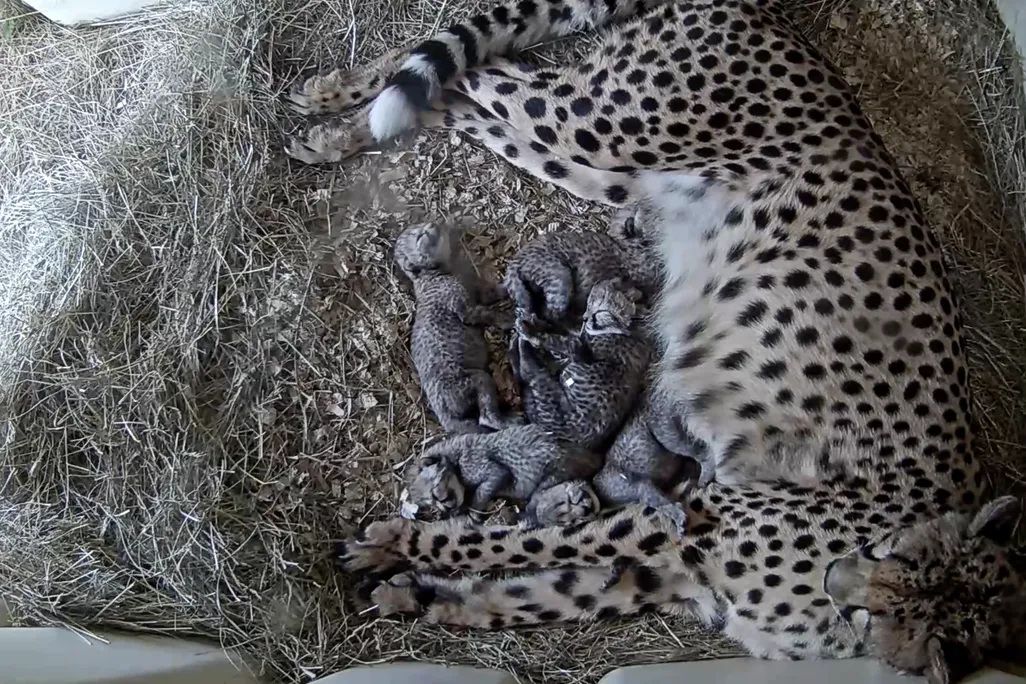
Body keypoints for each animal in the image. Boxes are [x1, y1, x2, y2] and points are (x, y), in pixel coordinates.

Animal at [395, 221, 516, 434]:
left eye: (420, 226)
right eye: (420, 237)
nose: (431, 224)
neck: (434, 274)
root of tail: (444, 417)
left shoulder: (479, 293)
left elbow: (496, 292)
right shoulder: (466, 310)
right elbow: (490, 314)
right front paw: (510, 318)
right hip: (476, 379)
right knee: (485, 417)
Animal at [407, 423, 604, 528]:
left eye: (435, 492)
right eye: (429, 504)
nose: (446, 506)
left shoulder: (494, 471)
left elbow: (483, 490)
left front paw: (474, 513)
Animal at [512, 278, 651, 450]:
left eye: (601, 312)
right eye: (590, 302)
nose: (585, 318)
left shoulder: (578, 350)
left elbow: (557, 340)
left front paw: (530, 330)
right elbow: (561, 329)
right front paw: (540, 322)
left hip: (546, 388)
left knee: (526, 371)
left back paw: (520, 340)